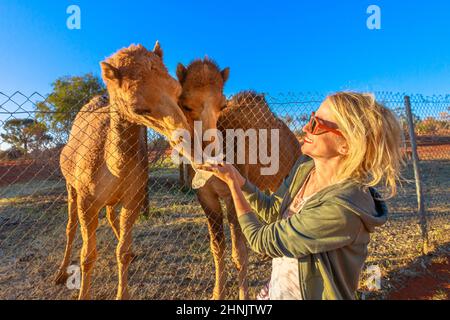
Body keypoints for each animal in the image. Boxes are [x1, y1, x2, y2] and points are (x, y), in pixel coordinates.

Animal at [55, 42, 191, 300]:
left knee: (110, 216)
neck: (113, 167)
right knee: (69, 226)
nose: (186, 137)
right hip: (71, 186)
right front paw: (83, 292)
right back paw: (59, 273)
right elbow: (87, 256)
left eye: (178, 90)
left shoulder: (134, 196)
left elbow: (122, 252)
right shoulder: (87, 200)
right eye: (138, 108)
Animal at [178, 58, 300, 298]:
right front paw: (217, 293)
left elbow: (239, 252)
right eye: (185, 104)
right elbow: (217, 248)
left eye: (223, 105)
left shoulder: (231, 192)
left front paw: (243, 294)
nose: (208, 149)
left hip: (288, 171)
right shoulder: (205, 196)